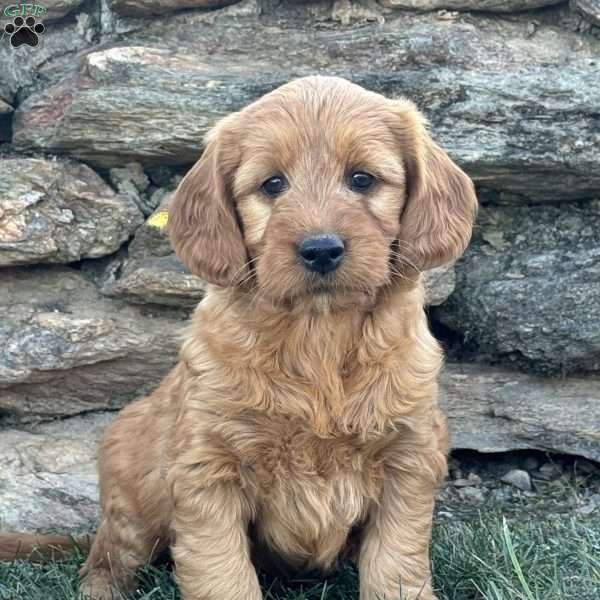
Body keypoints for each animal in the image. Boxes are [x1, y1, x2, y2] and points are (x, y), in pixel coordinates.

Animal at [76, 76, 478, 600]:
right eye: (272, 184)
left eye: (362, 179)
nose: (321, 249)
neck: (318, 334)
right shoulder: (208, 469)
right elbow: (222, 574)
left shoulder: (408, 459)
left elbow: (395, 566)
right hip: (129, 483)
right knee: (109, 556)